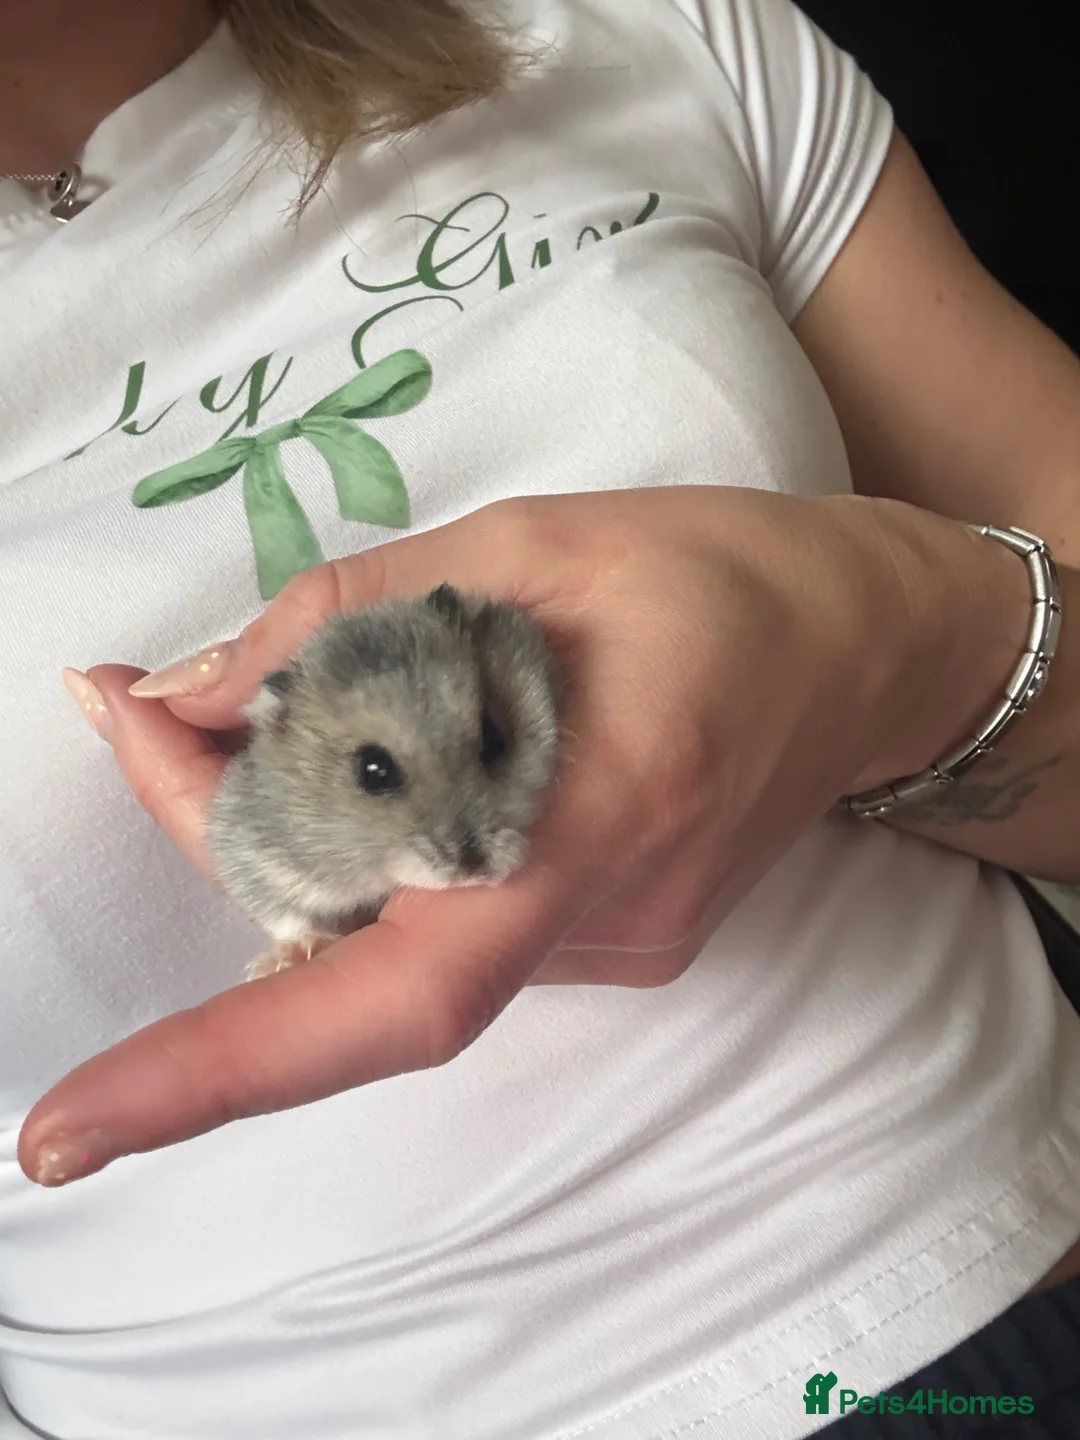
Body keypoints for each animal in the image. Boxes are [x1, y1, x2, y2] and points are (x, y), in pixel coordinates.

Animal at [206, 583, 562, 980]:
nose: (475, 870)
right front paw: (290, 957)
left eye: (494, 737)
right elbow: (281, 911)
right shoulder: (251, 852)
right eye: (374, 771)